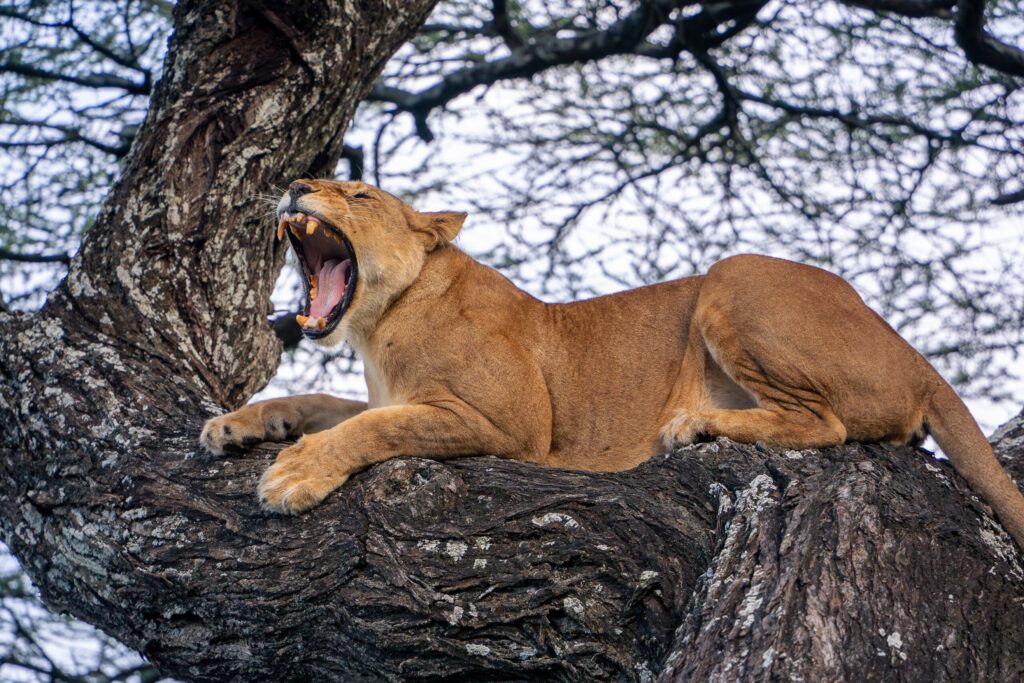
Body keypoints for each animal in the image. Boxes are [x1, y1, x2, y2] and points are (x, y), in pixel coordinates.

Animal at [199, 179, 1024, 549]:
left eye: (359, 193)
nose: (297, 185)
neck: (380, 322)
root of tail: (913, 352)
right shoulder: (385, 389)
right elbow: (323, 399)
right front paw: (237, 424)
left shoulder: (508, 423)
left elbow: (373, 429)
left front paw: (294, 474)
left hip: (733, 276)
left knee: (827, 423)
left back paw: (696, 426)